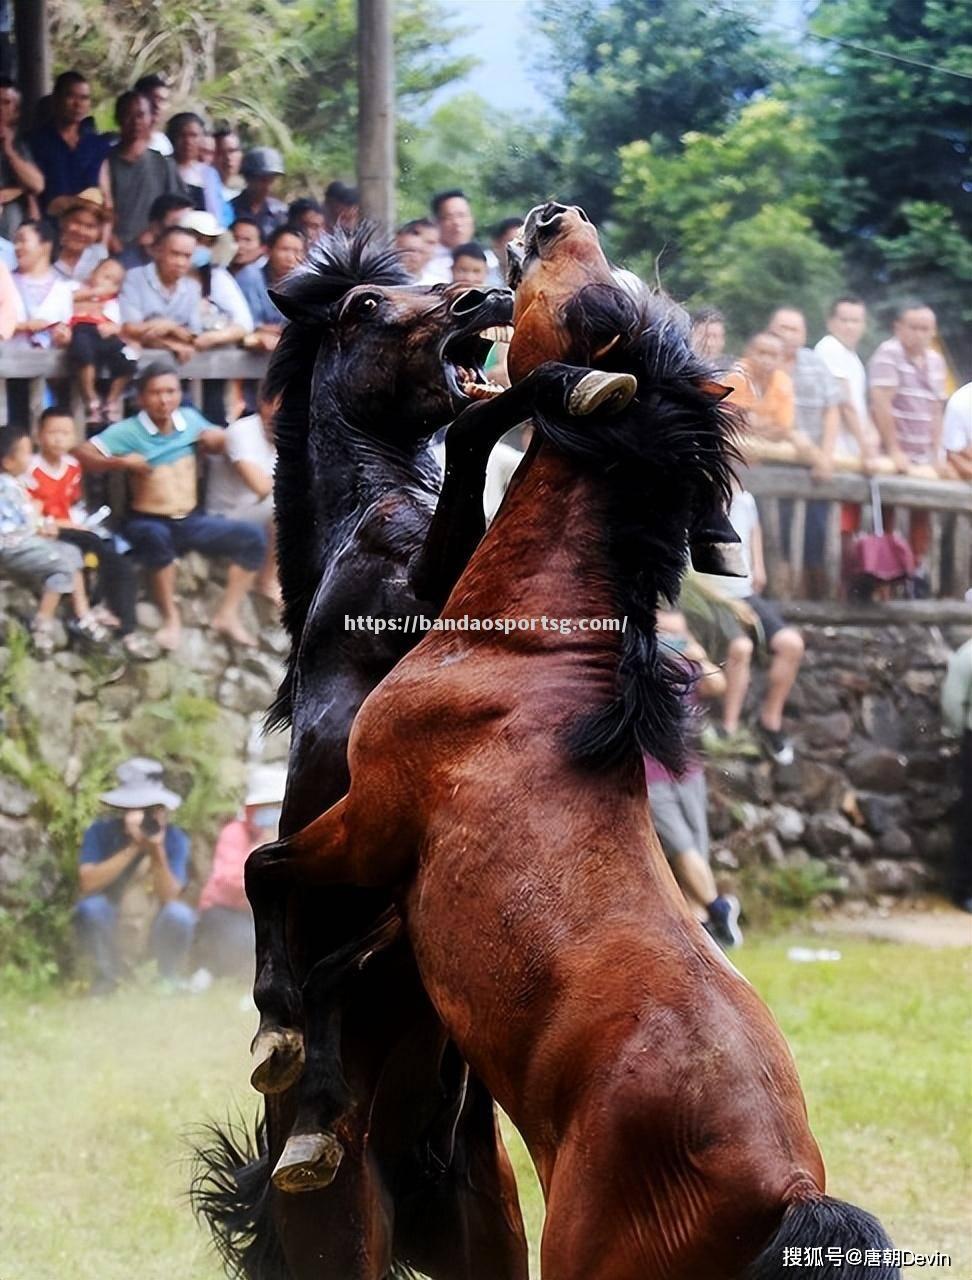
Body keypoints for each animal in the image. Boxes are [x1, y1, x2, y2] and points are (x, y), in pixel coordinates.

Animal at [190, 225, 630, 1274]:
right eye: (362, 308)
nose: (481, 298)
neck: (381, 505)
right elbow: (471, 438)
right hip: (345, 1237)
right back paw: (306, 1104)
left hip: (491, 1231)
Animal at [247, 209, 901, 1280]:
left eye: (592, 299)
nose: (553, 218)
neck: (526, 656)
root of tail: (789, 1192)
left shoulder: (374, 822)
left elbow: (268, 871)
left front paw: (281, 1027)